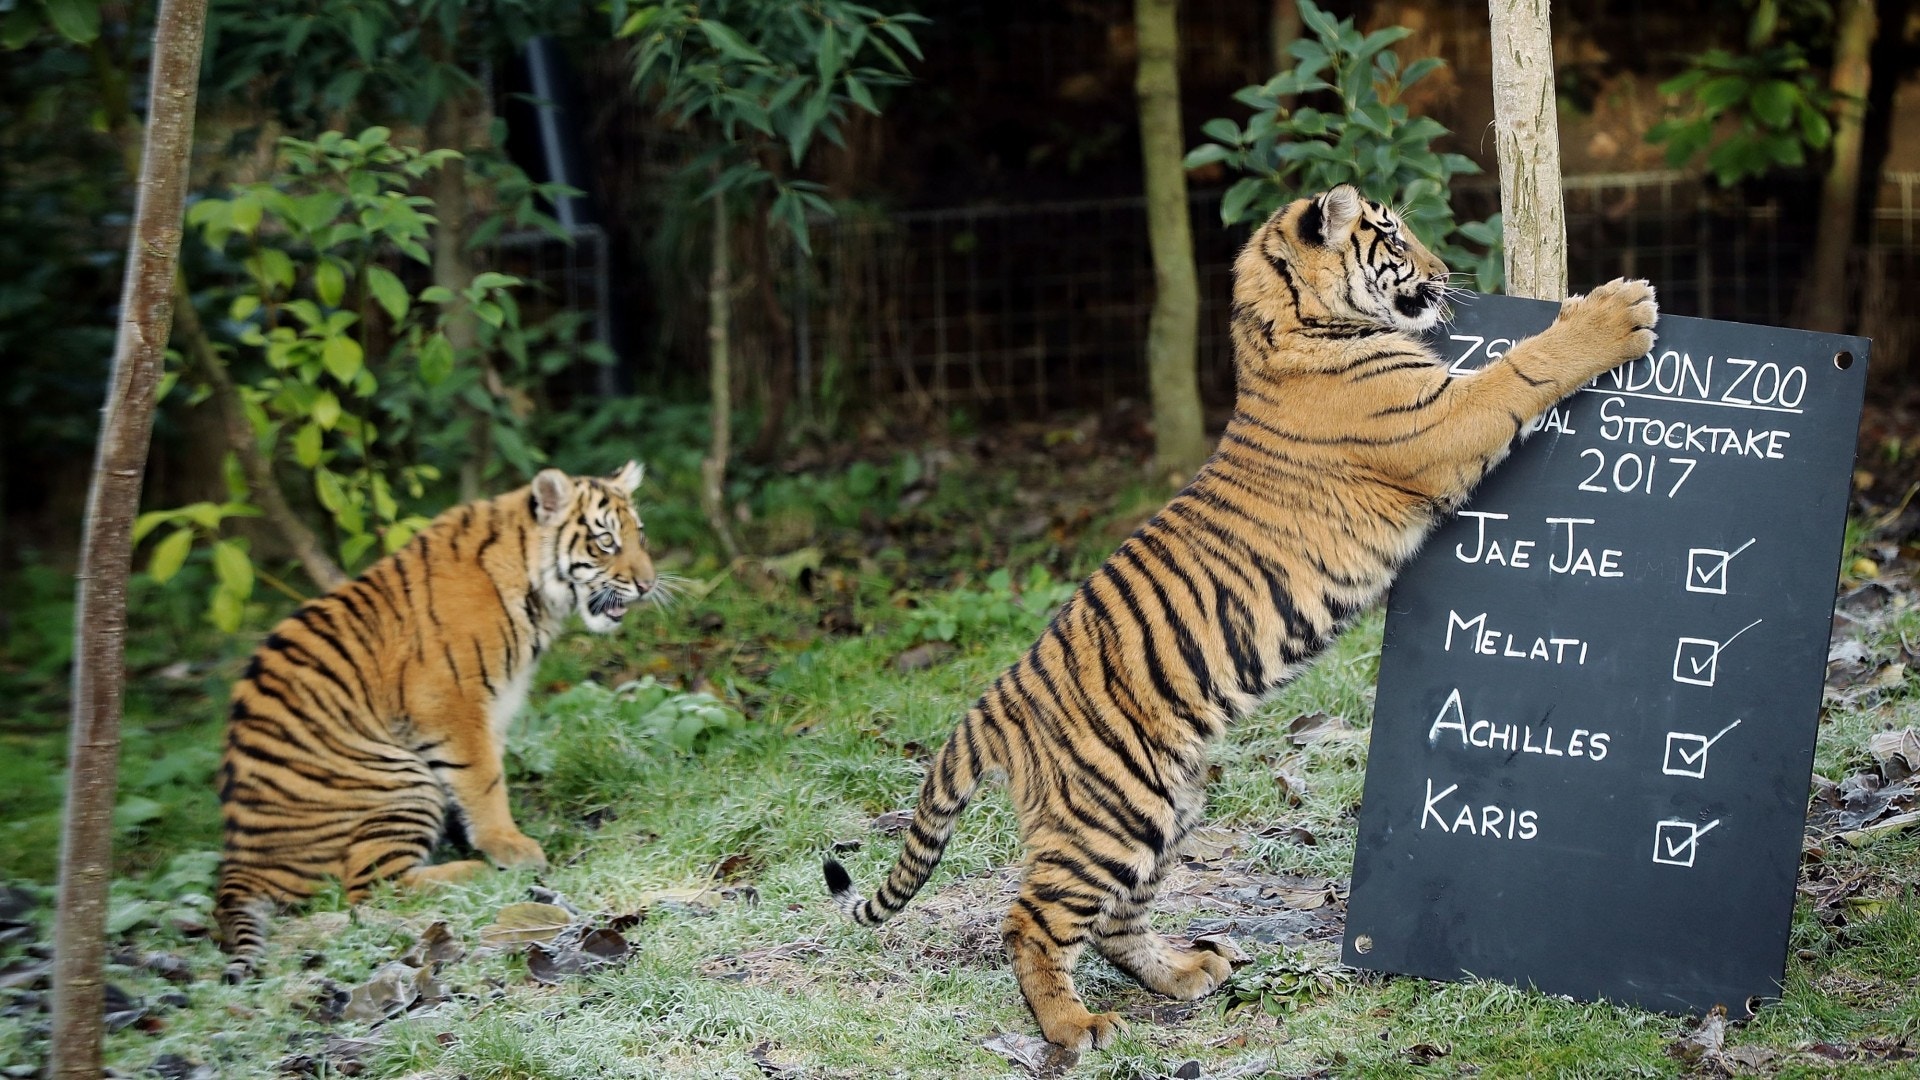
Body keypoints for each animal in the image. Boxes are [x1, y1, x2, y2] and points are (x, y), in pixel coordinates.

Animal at [218, 457, 660, 980]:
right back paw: (473, 871)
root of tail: (240, 860)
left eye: (639, 535)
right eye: (605, 540)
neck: (533, 587)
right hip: (396, 780)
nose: (649, 585)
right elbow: (483, 780)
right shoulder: (450, 701)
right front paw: (508, 846)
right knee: (368, 886)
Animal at [817, 182, 1658, 1045]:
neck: (1285, 326)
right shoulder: (1445, 419)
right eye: (1392, 236)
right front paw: (1617, 313)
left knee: (1114, 921)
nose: (1440, 270)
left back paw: (1186, 973)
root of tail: (996, 702)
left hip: (1163, 806)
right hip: (1108, 816)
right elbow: (1522, 369)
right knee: (1030, 922)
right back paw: (1073, 1027)